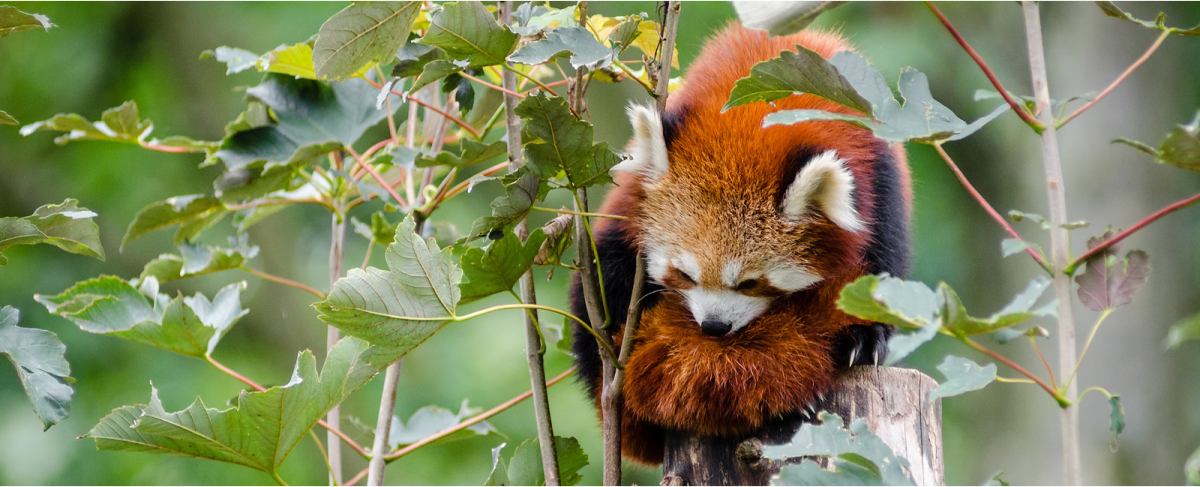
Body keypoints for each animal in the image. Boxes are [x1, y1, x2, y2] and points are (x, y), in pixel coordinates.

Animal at [566, 23, 912, 463]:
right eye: (684, 275)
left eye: (750, 282)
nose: (714, 327)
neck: (753, 122)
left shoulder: (879, 177)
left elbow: (882, 267)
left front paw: (867, 336)